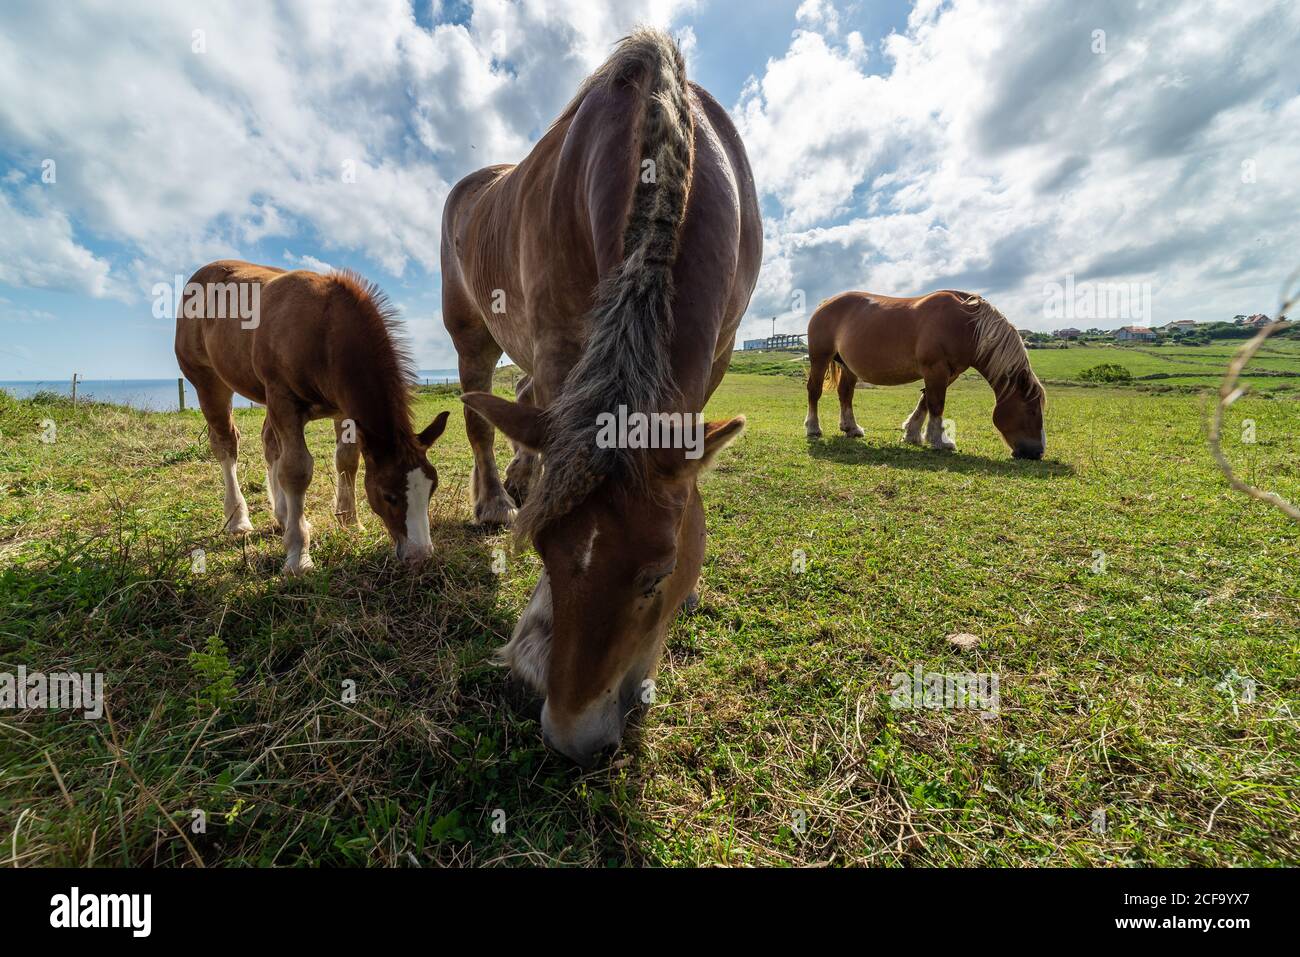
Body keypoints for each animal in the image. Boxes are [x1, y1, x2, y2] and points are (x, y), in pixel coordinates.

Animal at [175, 260, 452, 574]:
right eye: (388, 495)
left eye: (432, 488)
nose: (421, 555)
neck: (324, 330)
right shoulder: (283, 400)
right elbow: (296, 470)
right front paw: (298, 556)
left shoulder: (343, 410)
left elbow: (346, 460)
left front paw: (349, 522)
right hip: (209, 382)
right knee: (226, 443)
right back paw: (239, 519)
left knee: (270, 444)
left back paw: (283, 515)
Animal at [441, 26, 759, 764]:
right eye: (543, 555)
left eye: (657, 574)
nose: (572, 737)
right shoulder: (561, 339)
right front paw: (534, 637)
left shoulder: (718, 354)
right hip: (473, 336)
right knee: (482, 417)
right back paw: (495, 499)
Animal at [800, 287, 1045, 460]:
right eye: (1032, 410)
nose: (1038, 452)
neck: (967, 324)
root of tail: (825, 304)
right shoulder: (935, 369)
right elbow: (936, 404)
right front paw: (940, 441)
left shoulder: (948, 373)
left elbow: (925, 400)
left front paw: (912, 434)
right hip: (820, 358)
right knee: (814, 391)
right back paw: (813, 428)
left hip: (848, 366)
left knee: (845, 394)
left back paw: (851, 428)